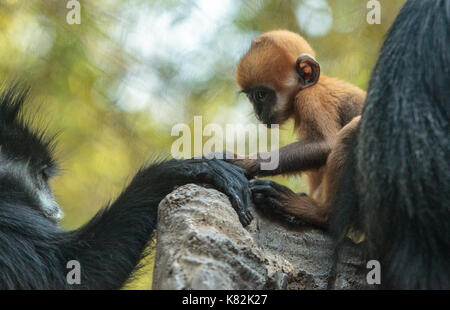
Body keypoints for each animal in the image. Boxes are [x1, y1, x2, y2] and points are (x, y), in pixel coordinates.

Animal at [234, 30, 368, 228]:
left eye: (261, 95)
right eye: (251, 97)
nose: (258, 113)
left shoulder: (310, 97)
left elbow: (325, 145)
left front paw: (241, 162)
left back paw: (320, 213)